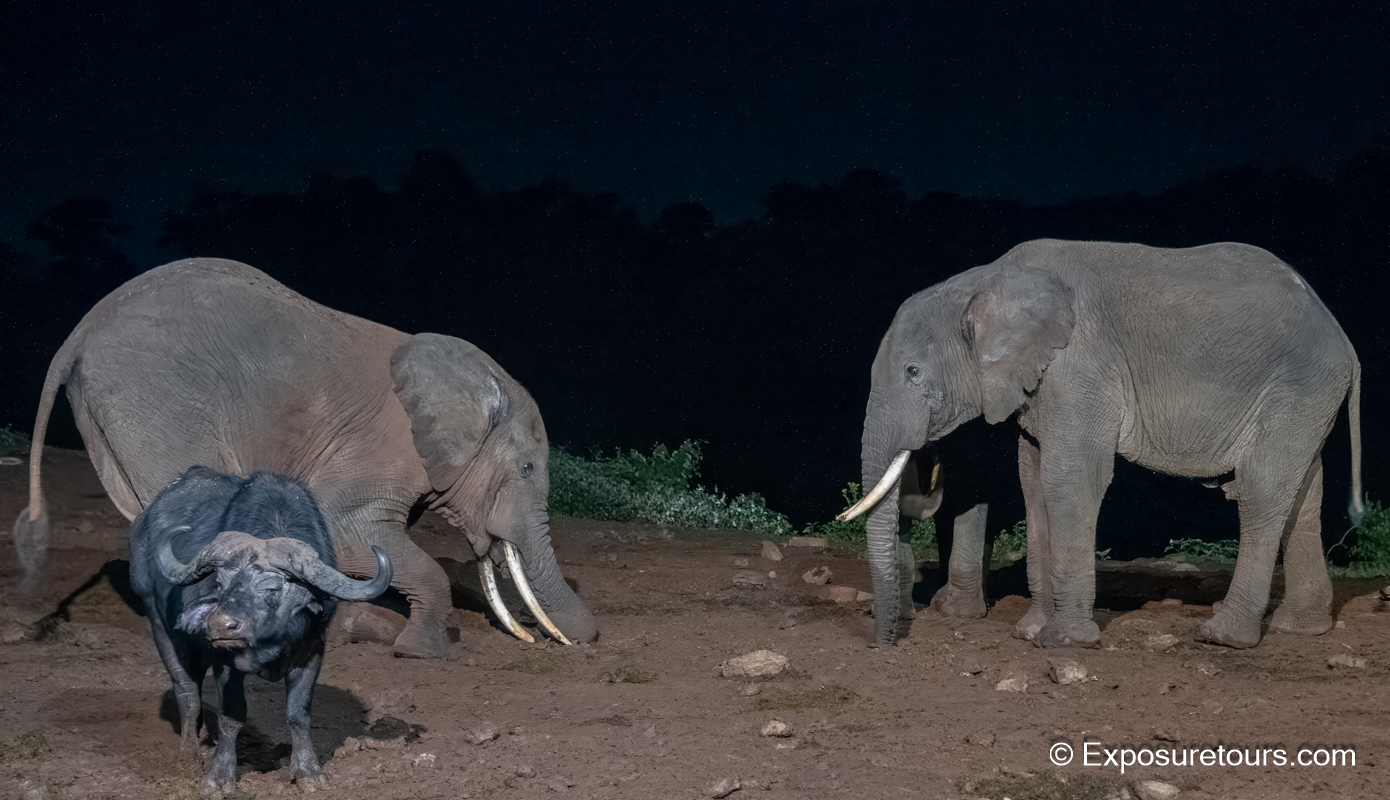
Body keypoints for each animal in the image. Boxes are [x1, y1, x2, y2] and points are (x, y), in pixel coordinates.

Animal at [13, 257, 597, 657]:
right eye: (527, 469)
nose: (589, 638)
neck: (473, 376)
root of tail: (80, 332)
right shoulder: (380, 449)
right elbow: (348, 529)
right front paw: (418, 650)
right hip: (156, 399)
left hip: (112, 413)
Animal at [840, 239, 1362, 650]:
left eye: (913, 372)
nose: (884, 644)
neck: (984, 280)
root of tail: (1342, 338)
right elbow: (1034, 483)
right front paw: (1030, 631)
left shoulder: (1080, 366)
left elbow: (1071, 479)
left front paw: (1064, 641)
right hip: (1309, 395)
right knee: (1303, 497)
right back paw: (1300, 628)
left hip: (1299, 384)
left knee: (1261, 489)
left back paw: (1224, 636)